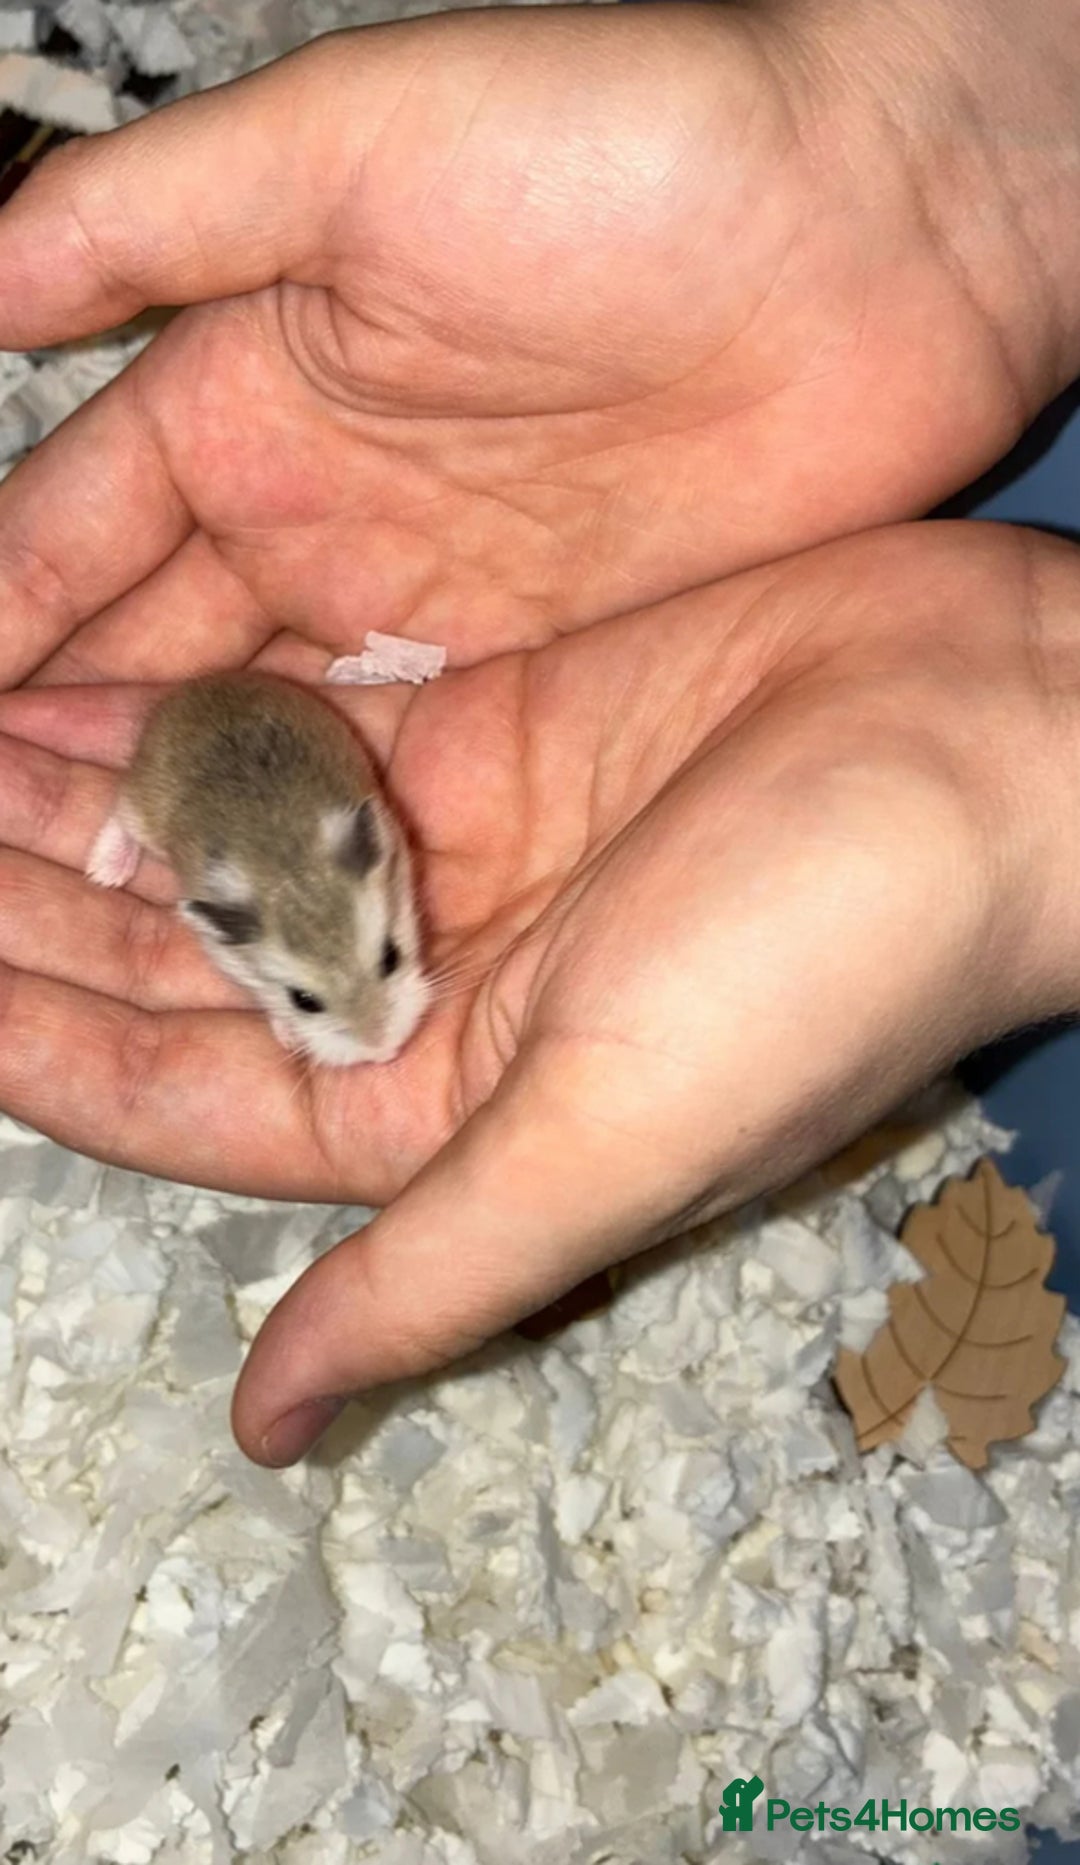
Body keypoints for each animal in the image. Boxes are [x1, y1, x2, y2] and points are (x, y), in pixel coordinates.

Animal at [86, 671, 430, 1067]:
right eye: (303, 1001)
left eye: (392, 957)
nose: (386, 1053)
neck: (289, 867)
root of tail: (199, 683)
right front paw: (290, 1039)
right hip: (142, 807)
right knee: (121, 814)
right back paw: (104, 874)